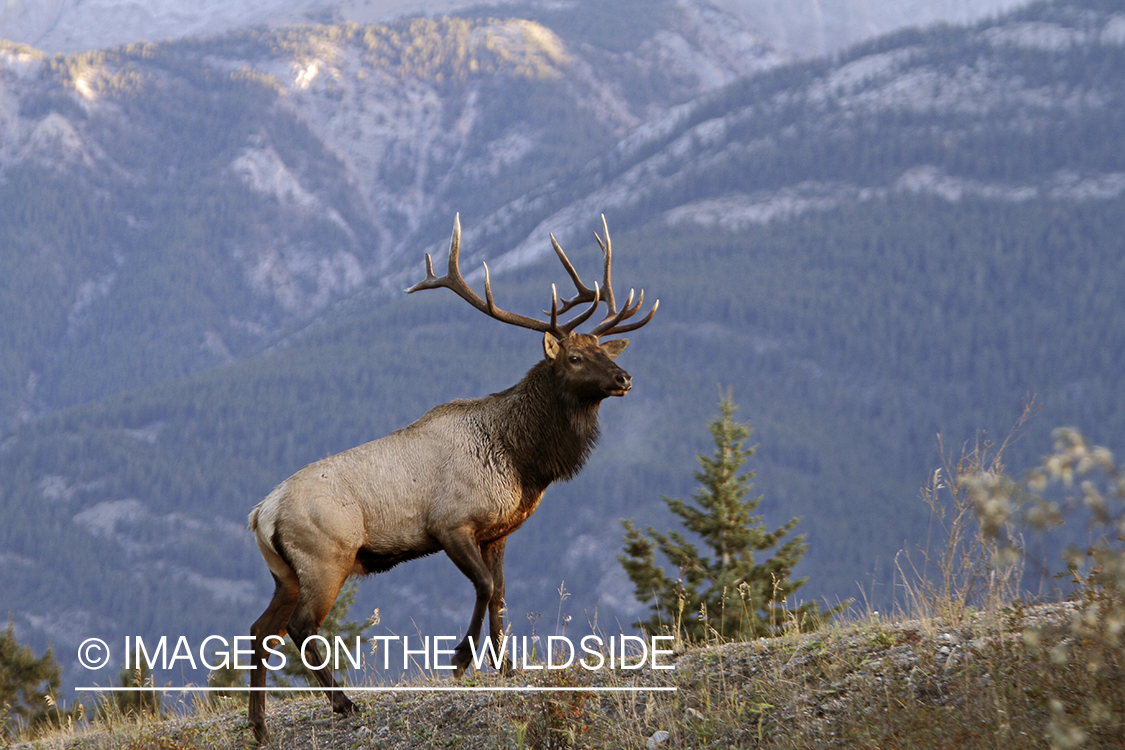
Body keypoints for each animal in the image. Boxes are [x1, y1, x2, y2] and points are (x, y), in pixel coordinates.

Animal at [244, 213, 652, 742]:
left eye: (604, 349)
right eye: (575, 358)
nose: (624, 378)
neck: (522, 460)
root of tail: (260, 513)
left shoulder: (499, 530)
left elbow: (501, 595)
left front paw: (507, 667)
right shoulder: (449, 524)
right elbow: (483, 586)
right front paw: (461, 659)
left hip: (284, 571)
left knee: (260, 630)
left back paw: (259, 725)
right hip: (325, 557)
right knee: (300, 626)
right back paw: (343, 703)